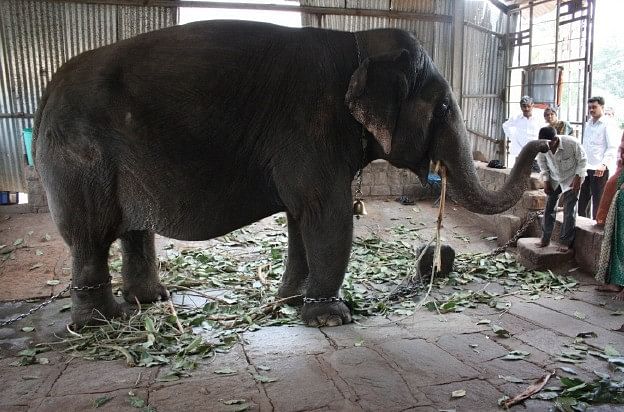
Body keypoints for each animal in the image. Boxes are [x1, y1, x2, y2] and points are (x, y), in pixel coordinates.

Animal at [34, 19, 544, 328]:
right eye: (440, 108)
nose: (548, 136)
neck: (360, 42)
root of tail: (44, 97)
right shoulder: (311, 125)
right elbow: (329, 213)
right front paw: (331, 318)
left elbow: (303, 216)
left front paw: (290, 303)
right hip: (80, 159)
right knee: (90, 235)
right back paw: (103, 321)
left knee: (132, 229)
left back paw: (150, 301)